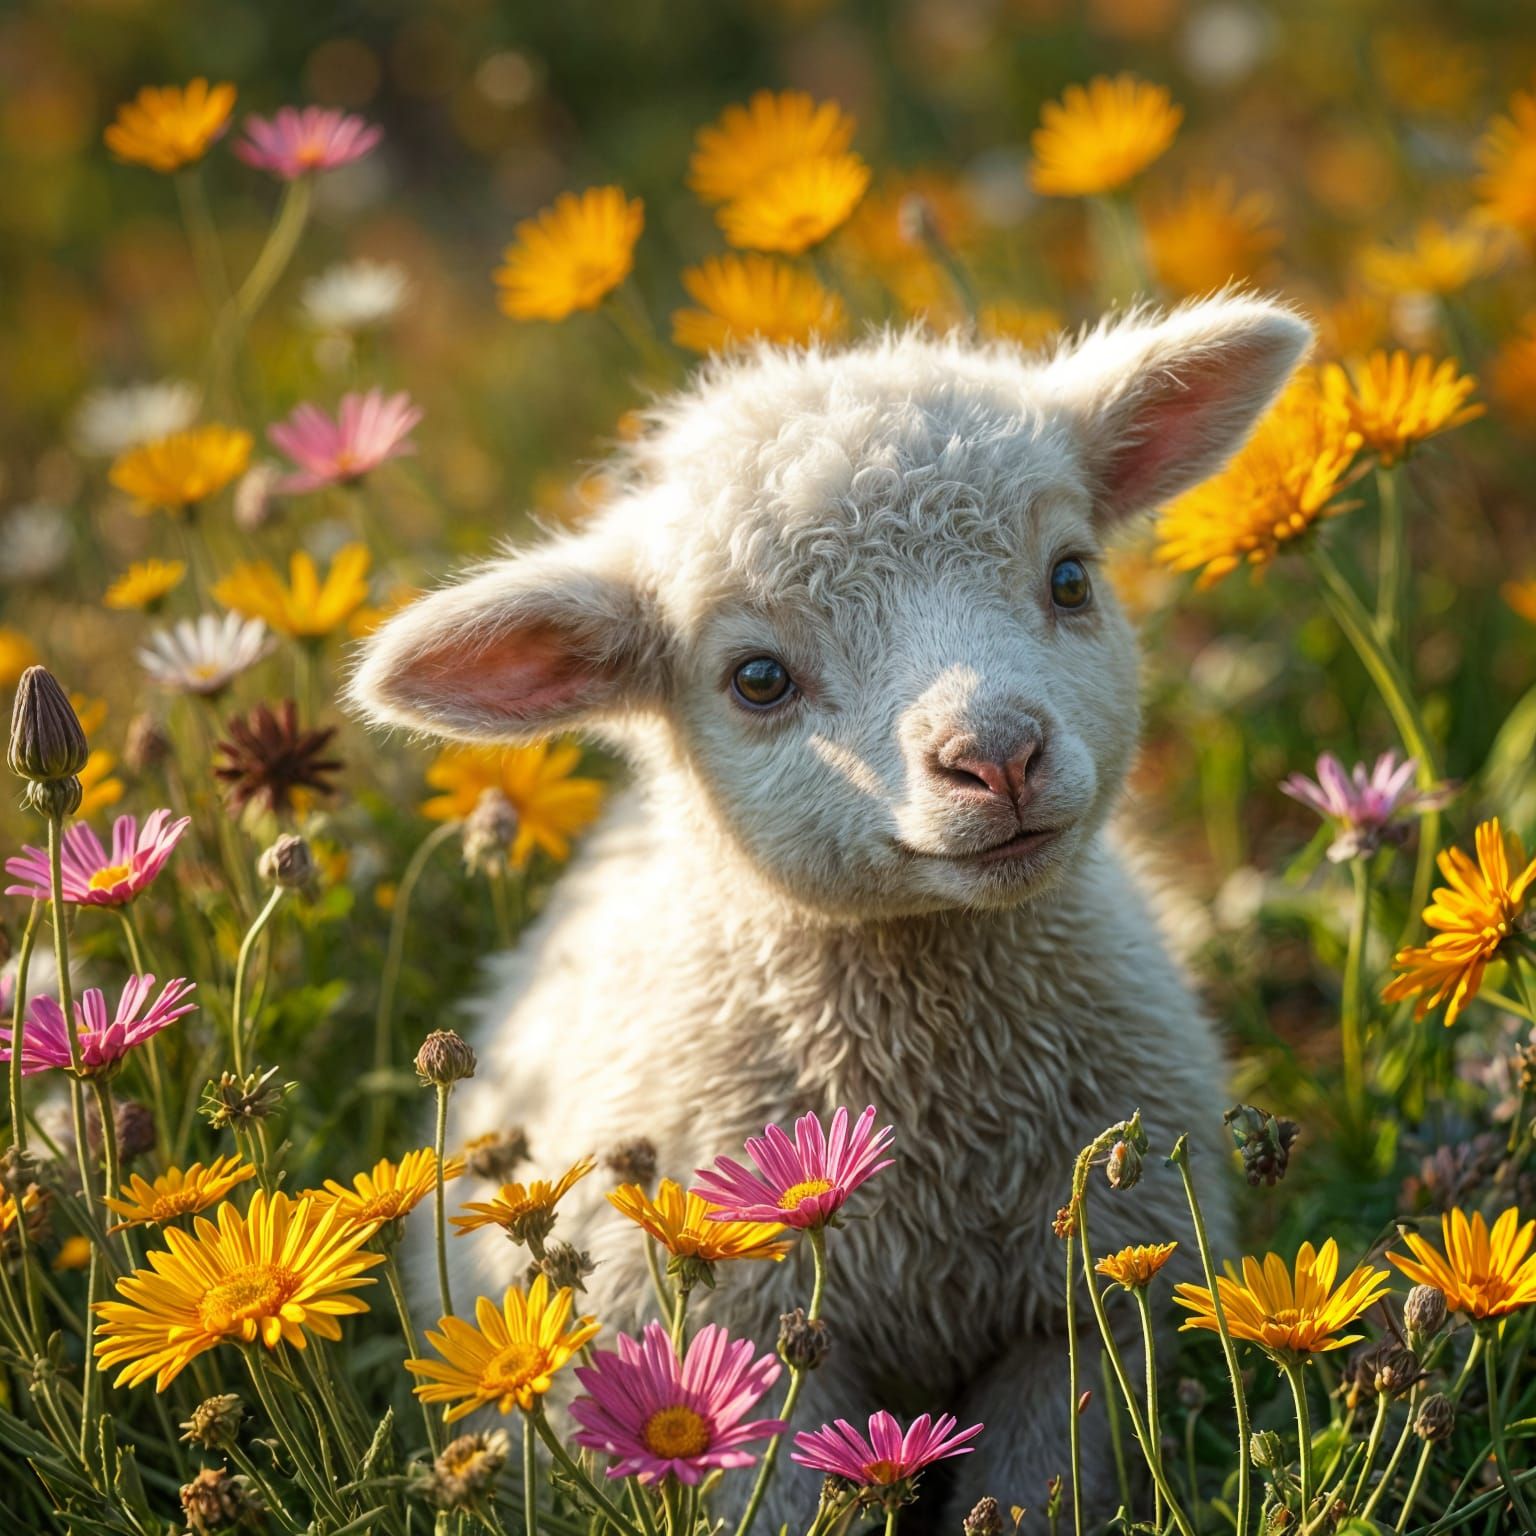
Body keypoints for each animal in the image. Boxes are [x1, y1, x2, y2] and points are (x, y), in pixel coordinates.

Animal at [350, 294, 1312, 1525]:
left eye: (1069, 578)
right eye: (757, 680)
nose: (999, 756)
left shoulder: (1091, 1309)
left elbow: (1038, 1489)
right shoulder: (737, 1348)